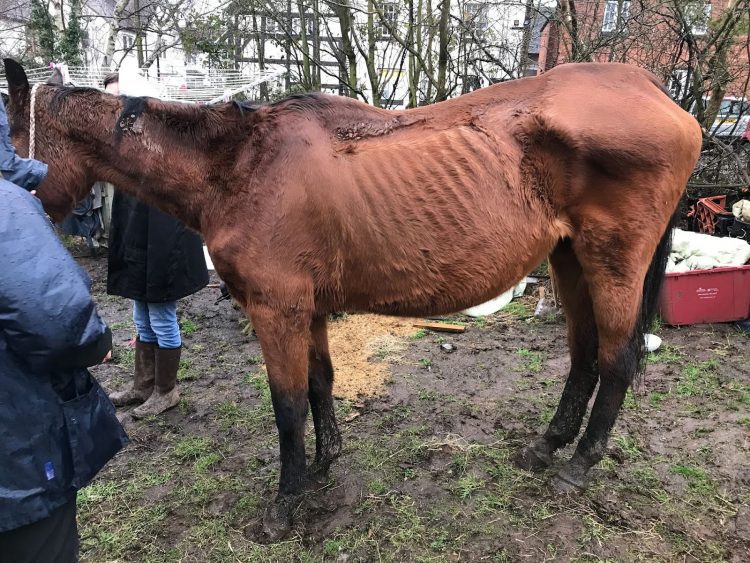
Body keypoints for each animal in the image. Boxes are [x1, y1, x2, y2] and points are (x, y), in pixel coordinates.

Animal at [2, 59, 704, 540]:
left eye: (10, 140)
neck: (242, 168)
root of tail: (657, 94)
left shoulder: (276, 311)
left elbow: (287, 406)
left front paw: (284, 504)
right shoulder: (306, 310)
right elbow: (319, 384)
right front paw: (323, 464)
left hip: (613, 262)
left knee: (616, 361)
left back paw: (578, 465)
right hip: (569, 260)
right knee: (584, 355)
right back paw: (546, 446)